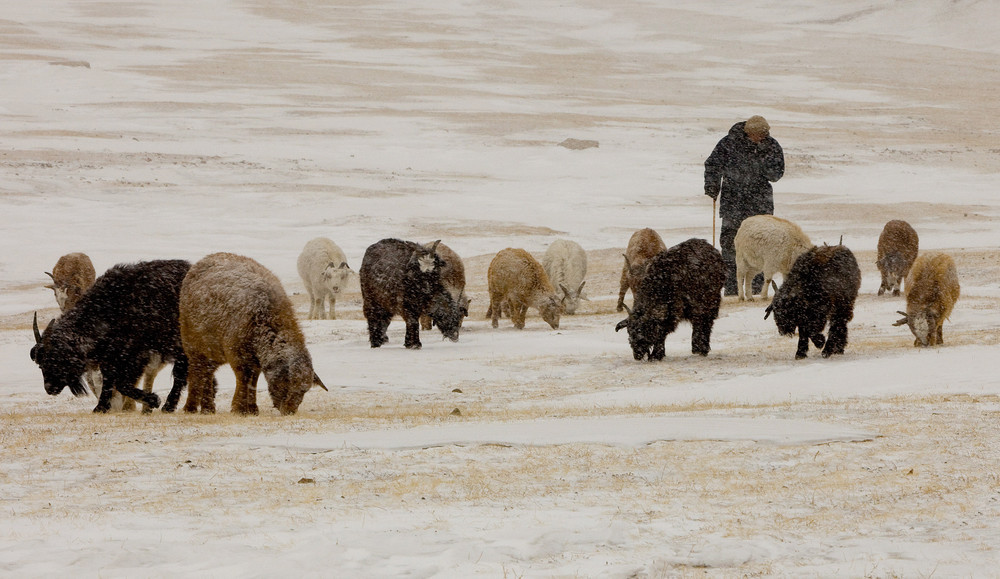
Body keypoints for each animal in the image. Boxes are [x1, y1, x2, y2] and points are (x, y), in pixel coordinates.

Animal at [180, 251, 328, 414]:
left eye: (304, 391)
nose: (289, 412)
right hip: (194, 345)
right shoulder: (238, 356)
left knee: (207, 374)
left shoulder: (254, 361)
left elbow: (253, 381)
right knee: (197, 373)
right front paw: (238, 408)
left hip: (212, 351)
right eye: (288, 385)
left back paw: (208, 408)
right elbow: (244, 379)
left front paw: (252, 408)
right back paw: (190, 407)